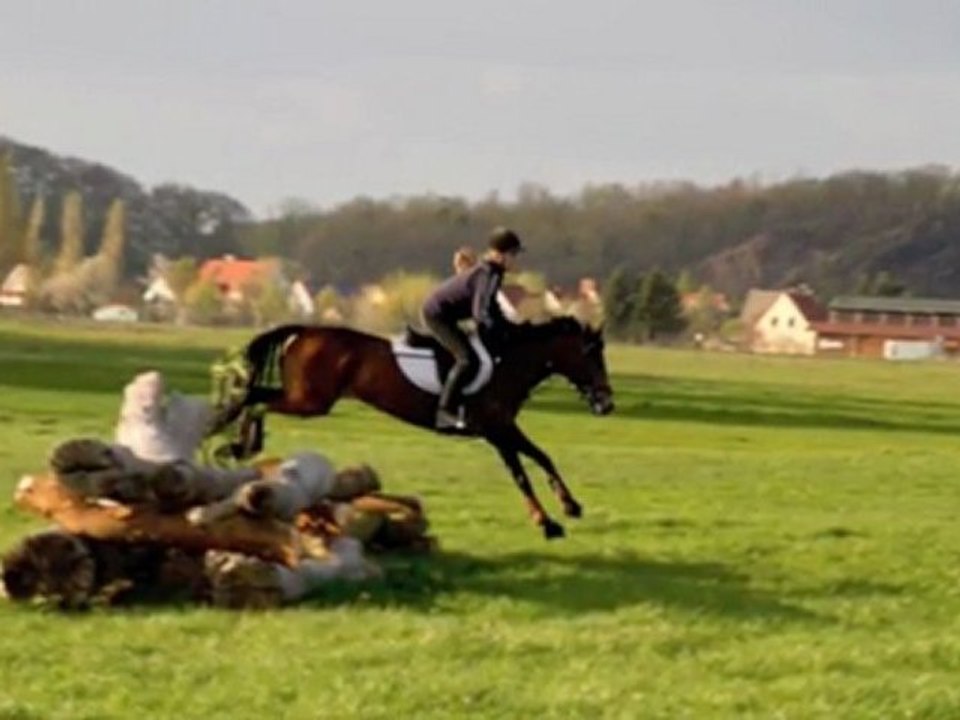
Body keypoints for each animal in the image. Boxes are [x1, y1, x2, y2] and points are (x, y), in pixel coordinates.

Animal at [209, 317, 614, 540]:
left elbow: (543, 457)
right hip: (311, 401)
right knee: (257, 400)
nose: (607, 404)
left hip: (308, 398)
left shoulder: (504, 428)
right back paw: (241, 442)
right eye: (592, 355)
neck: (507, 363)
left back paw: (237, 441)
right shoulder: (496, 431)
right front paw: (546, 523)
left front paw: (570, 505)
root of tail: (305, 332)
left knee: (255, 396)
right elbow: (521, 474)